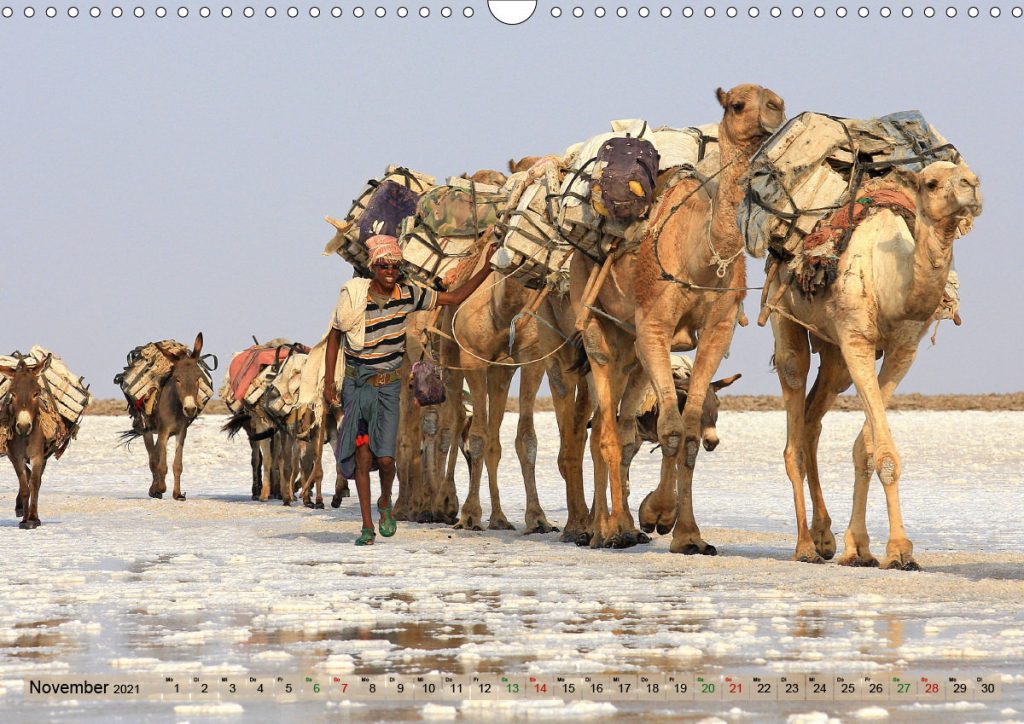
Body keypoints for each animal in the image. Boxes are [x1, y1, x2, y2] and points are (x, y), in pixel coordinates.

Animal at [567, 84, 785, 550]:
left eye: (777, 98)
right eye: (737, 104)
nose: (775, 110)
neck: (700, 255)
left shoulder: (717, 331)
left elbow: (688, 430)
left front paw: (688, 535)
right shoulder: (655, 326)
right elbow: (668, 427)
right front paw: (658, 513)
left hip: (630, 349)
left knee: (622, 427)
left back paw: (622, 526)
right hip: (593, 323)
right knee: (602, 429)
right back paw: (606, 530)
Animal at [765, 161, 982, 570]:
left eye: (969, 172)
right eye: (931, 183)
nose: (972, 185)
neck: (890, 282)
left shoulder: (902, 351)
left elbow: (866, 448)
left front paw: (861, 548)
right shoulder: (856, 340)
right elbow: (884, 452)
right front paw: (898, 551)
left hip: (833, 353)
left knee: (813, 418)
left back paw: (824, 537)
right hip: (784, 313)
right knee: (793, 394)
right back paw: (804, 545)